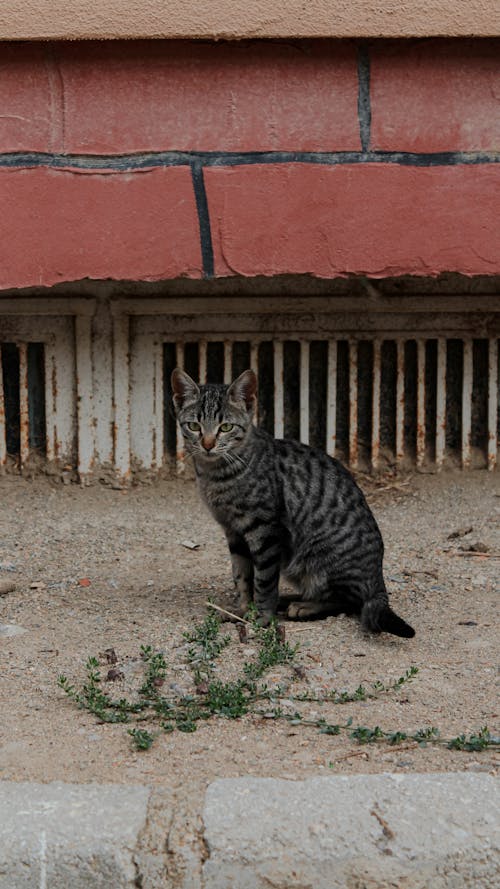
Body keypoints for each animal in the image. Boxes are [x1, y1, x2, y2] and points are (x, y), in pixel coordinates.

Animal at [172, 368, 414, 640]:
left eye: (225, 427)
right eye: (194, 426)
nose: (208, 444)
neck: (218, 475)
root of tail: (378, 576)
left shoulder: (264, 530)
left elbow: (264, 580)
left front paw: (262, 616)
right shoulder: (233, 531)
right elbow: (241, 575)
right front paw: (242, 608)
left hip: (317, 558)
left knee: (349, 600)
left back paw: (303, 606)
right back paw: (289, 599)